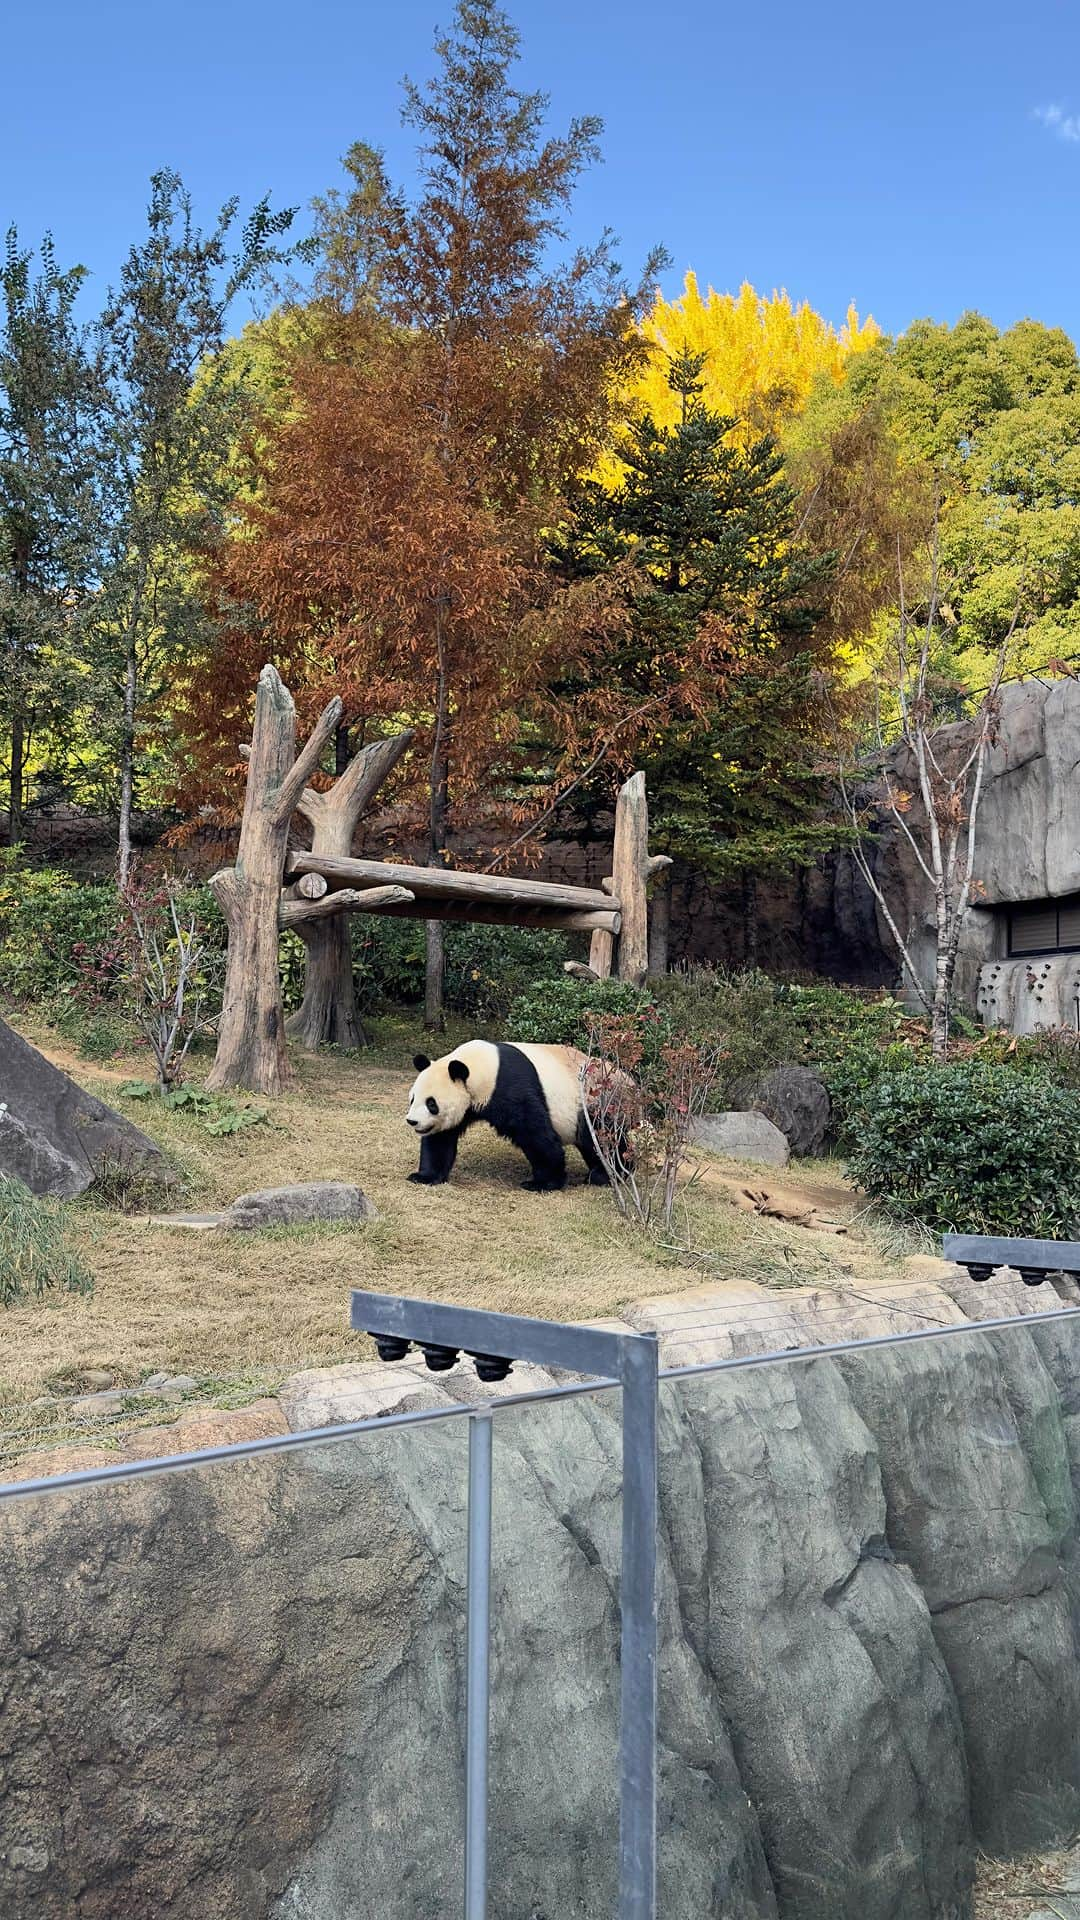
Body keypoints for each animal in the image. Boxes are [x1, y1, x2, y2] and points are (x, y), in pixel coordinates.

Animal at [407, 1044, 618, 1190]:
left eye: (431, 1104)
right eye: (413, 1099)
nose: (412, 1121)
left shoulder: (510, 1087)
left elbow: (535, 1134)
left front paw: (544, 1182)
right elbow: (441, 1139)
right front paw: (424, 1177)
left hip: (595, 1102)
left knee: (602, 1140)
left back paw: (603, 1176)